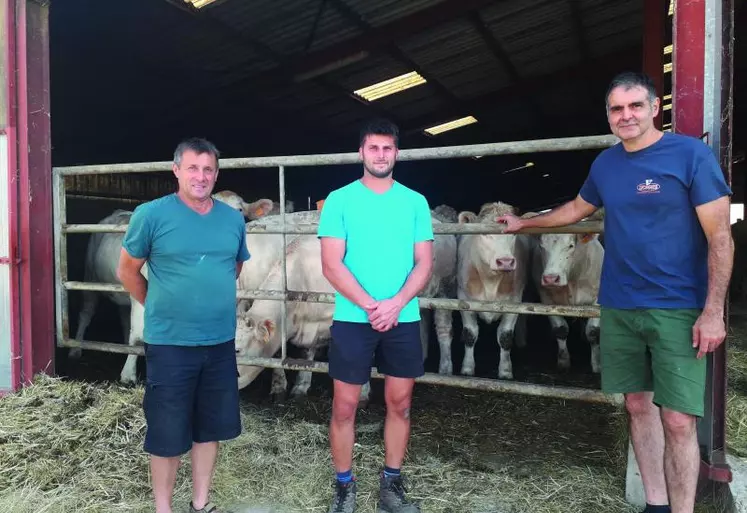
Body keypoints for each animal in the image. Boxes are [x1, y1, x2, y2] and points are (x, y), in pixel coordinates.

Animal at [456, 202, 532, 378]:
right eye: (484, 233)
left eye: (514, 234)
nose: (505, 261)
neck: (491, 281)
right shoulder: (464, 299)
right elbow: (470, 334)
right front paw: (467, 368)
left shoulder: (515, 301)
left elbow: (505, 336)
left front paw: (505, 370)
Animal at [536, 220, 604, 372]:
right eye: (541, 246)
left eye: (570, 245)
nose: (550, 278)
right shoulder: (546, 298)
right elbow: (560, 329)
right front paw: (563, 361)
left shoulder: (599, 300)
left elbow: (593, 332)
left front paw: (597, 364)